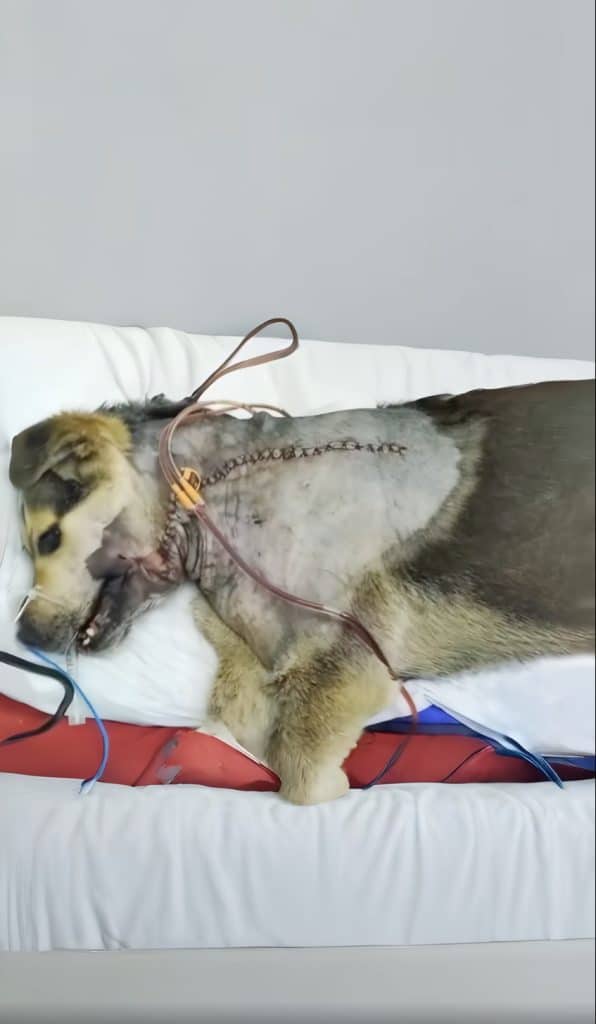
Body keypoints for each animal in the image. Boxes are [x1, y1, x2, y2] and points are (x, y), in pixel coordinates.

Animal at [9, 379, 595, 803]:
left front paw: (341, 789)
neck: (217, 494)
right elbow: (230, 730)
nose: (23, 634)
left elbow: (301, 776)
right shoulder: (255, 661)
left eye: (48, 538)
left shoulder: (344, 658)